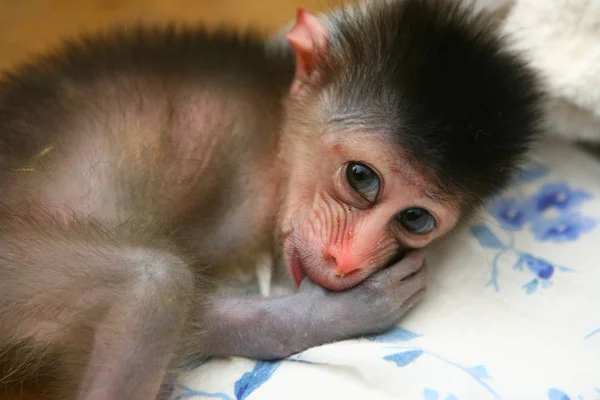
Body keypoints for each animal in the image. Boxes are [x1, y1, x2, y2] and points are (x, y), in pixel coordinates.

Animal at [0, 0, 540, 400]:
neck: (278, 134)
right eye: (361, 177)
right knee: (154, 281)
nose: (347, 260)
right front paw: (322, 314)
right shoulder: (247, 197)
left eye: (415, 218)